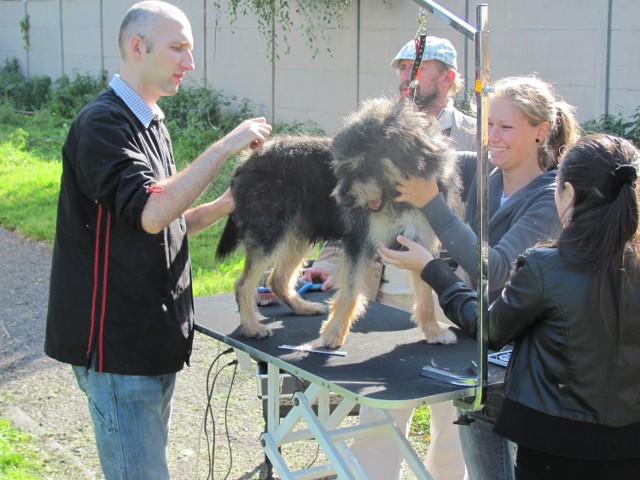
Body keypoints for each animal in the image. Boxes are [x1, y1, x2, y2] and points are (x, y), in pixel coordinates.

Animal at [215, 96, 460, 348]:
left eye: (365, 164)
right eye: (340, 164)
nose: (342, 200)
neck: (397, 198)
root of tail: (246, 160)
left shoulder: (419, 243)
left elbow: (426, 293)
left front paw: (433, 332)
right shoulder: (359, 242)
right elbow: (350, 292)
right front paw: (333, 334)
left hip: (296, 237)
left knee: (277, 279)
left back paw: (301, 307)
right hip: (269, 236)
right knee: (243, 285)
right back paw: (252, 326)